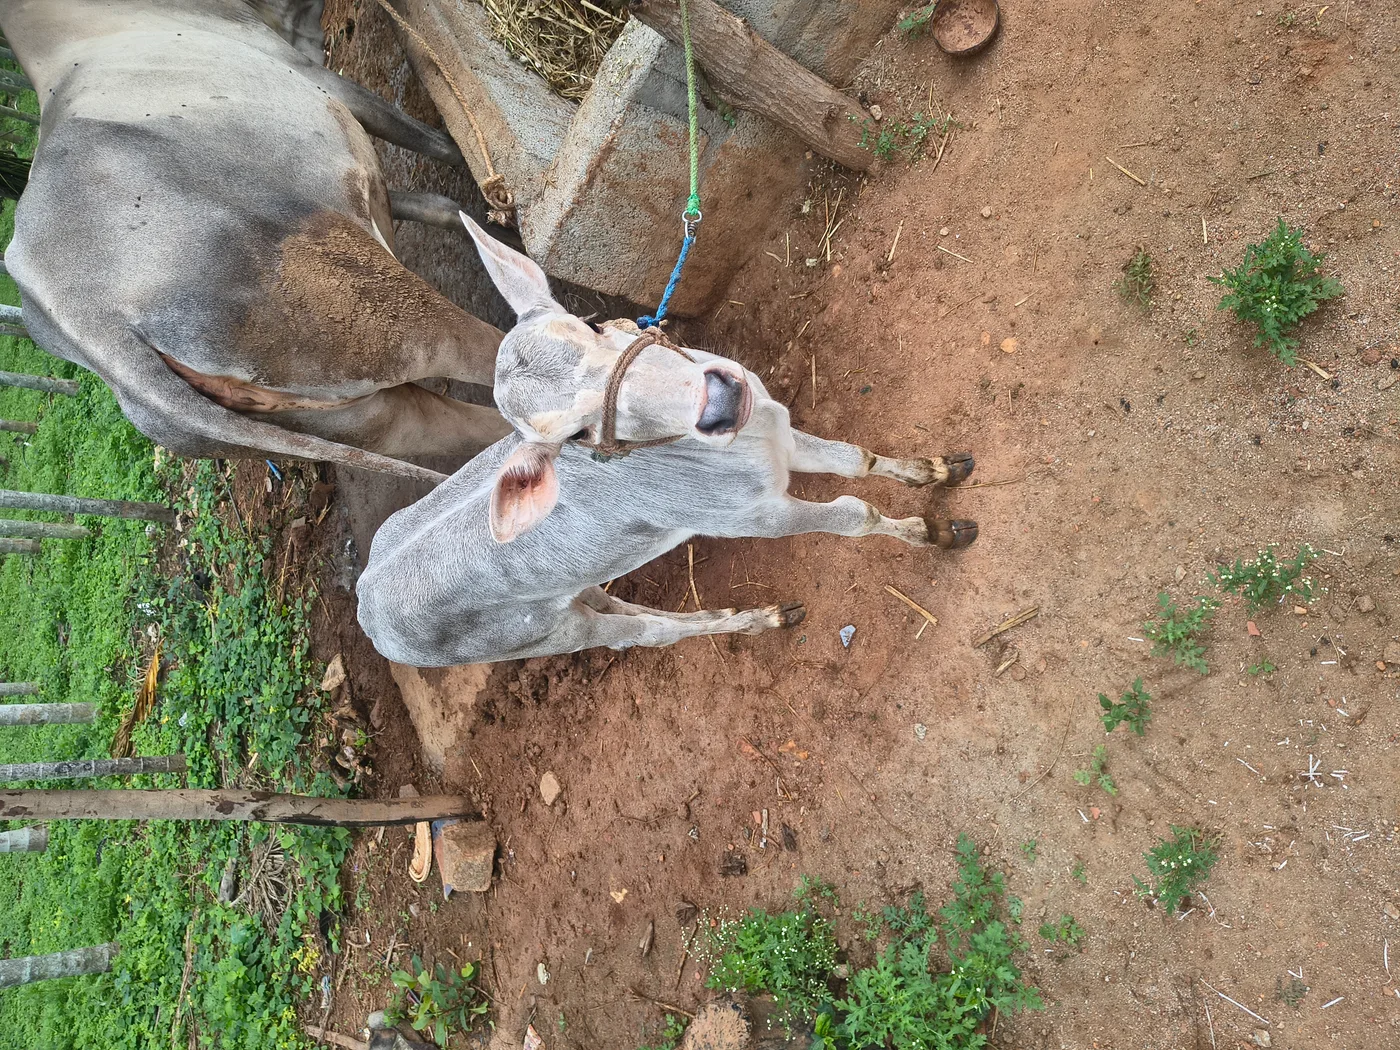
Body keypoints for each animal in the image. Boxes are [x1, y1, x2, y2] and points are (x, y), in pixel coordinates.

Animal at [0, 0, 513, 485]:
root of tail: (94, 330)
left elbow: (435, 204)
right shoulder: (316, 75)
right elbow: (437, 144)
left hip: (364, 418)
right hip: (373, 301)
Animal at [356, 216, 978, 666]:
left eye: (592, 324)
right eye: (576, 435)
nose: (720, 400)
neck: (750, 442)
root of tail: (365, 605)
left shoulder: (784, 436)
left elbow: (858, 461)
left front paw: (939, 470)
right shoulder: (751, 517)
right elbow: (855, 512)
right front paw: (937, 532)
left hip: (574, 591)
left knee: (630, 608)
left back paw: (741, 615)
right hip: (547, 633)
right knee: (641, 634)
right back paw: (754, 621)